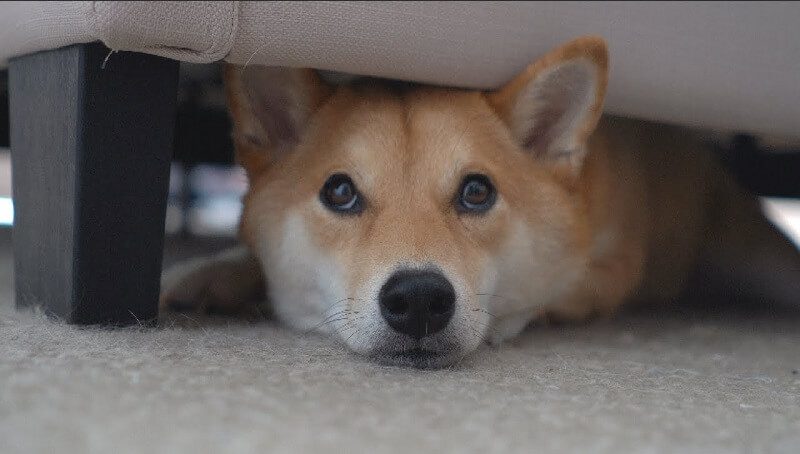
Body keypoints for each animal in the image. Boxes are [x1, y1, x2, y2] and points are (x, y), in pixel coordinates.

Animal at [161, 36, 800, 368]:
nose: (419, 298)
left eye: (476, 191)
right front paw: (202, 275)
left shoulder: (611, 267)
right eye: (339, 191)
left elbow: (552, 294)